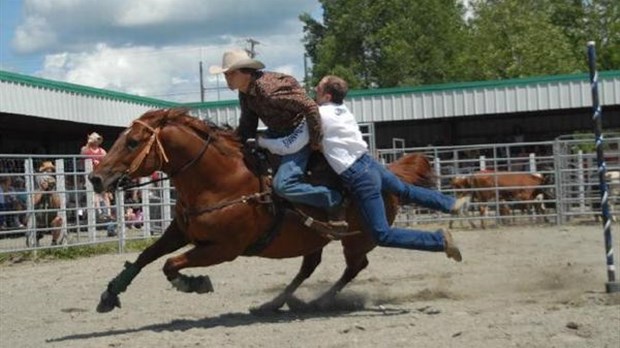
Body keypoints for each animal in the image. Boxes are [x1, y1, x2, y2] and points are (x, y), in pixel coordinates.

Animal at [88, 107, 436, 314]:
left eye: (133, 142)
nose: (95, 178)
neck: (220, 180)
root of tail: (384, 172)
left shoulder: (225, 248)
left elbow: (170, 264)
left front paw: (194, 283)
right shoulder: (180, 231)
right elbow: (146, 256)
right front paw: (110, 294)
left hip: (358, 238)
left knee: (355, 266)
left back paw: (318, 301)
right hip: (313, 238)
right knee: (310, 267)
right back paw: (276, 302)